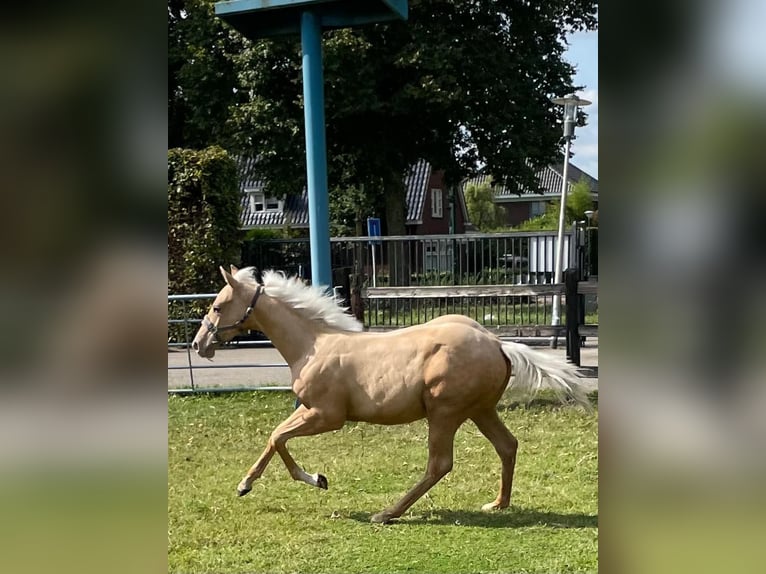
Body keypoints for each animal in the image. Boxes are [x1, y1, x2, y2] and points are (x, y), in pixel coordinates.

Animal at [192, 266, 592, 528]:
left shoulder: (327, 415)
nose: (199, 344)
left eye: (217, 306)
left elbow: (278, 437)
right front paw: (247, 484)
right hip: (481, 410)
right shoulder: (309, 409)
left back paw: (387, 513)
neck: (313, 344)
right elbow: (274, 436)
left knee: (439, 464)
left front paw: (315, 479)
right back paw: (497, 504)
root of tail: (497, 342)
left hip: (445, 413)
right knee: (507, 446)